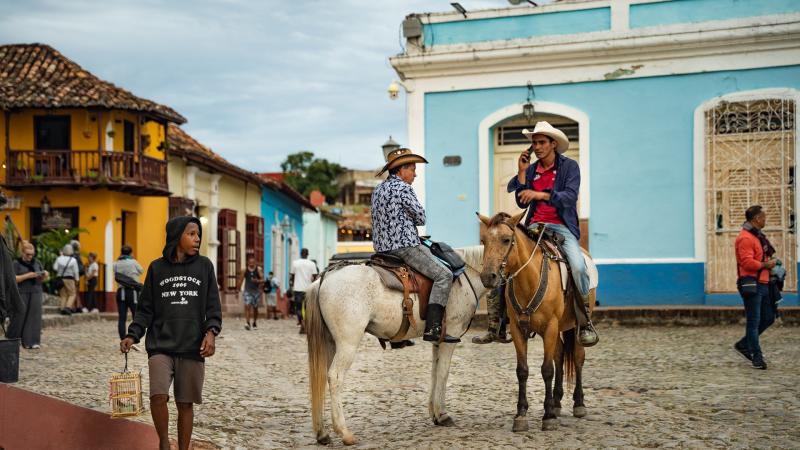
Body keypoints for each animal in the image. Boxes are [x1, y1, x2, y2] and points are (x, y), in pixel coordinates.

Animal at [308, 248, 488, 444]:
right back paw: (344, 433)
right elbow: (443, 373)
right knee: (335, 377)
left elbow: (435, 372)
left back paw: (322, 433)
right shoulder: (452, 334)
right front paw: (442, 415)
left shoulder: (437, 340)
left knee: (321, 377)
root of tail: (325, 277)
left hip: (330, 343)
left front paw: (434, 413)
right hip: (347, 343)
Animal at [476, 213, 592, 434]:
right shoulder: (518, 329)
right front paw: (521, 415)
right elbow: (522, 370)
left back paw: (579, 404)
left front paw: (548, 417)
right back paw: (557, 402)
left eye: (506, 240)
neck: (529, 279)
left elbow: (547, 370)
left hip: (575, 325)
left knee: (578, 358)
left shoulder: (550, 327)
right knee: (560, 355)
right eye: (483, 241)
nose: (488, 277)